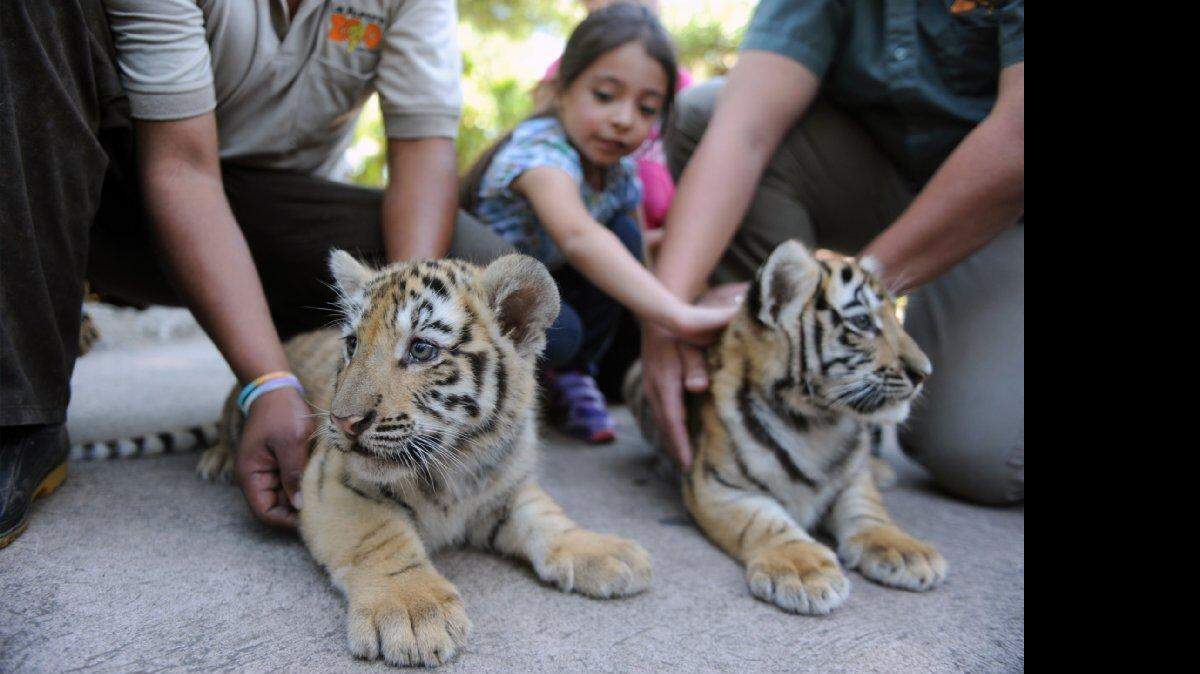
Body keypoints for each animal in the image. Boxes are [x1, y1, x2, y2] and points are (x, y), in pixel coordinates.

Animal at [199, 251, 652, 667]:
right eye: (352, 344)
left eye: (420, 349)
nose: (343, 421)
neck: (456, 463)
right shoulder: (331, 481)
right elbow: (380, 535)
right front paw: (413, 611)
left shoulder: (505, 488)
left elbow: (545, 515)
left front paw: (602, 551)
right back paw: (218, 460)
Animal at [625, 239, 946, 616]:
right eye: (862, 321)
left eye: (896, 317)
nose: (925, 372)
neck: (817, 422)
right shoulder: (720, 487)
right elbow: (765, 524)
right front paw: (803, 571)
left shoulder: (852, 480)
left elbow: (870, 511)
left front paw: (907, 551)